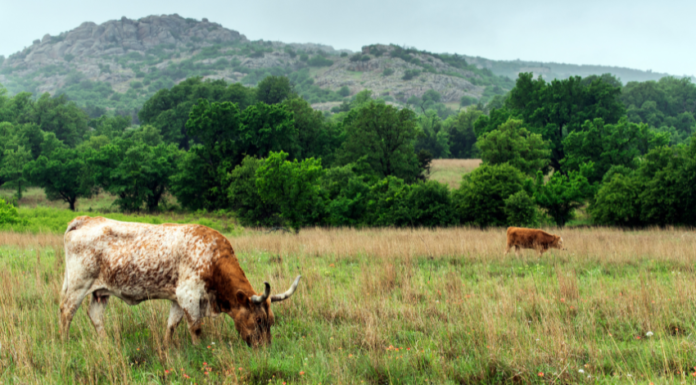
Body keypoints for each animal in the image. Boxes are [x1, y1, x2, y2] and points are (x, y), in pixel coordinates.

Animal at [59, 214, 300, 346]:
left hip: (100, 292)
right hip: (78, 285)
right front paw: (199, 350)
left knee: (95, 316)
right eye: (258, 320)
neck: (213, 259)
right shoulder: (189, 296)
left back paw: (106, 342)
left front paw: (167, 347)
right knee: (66, 312)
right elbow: (195, 328)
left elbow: (171, 325)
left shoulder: (177, 298)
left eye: (271, 321)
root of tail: (85, 219)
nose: (264, 348)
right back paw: (64, 343)